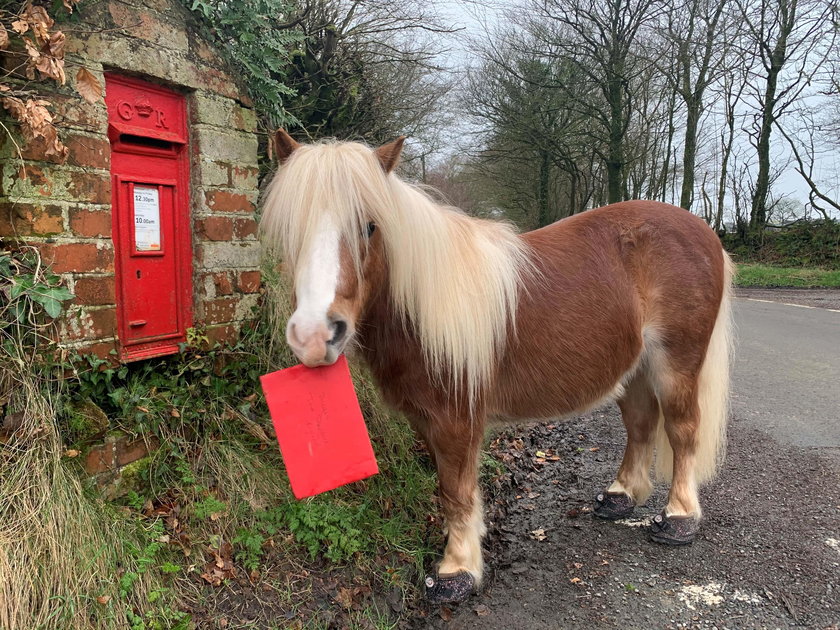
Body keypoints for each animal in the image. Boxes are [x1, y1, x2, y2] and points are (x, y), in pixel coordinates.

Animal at [260, 130, 732, 608]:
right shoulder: (425, 421)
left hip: (676, 364)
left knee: (682, 430)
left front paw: (457, 570)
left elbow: (456, 491)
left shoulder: (456, 421)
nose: (314, 335)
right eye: (291, 229)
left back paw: (679, 519)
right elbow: (448, 489)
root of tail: (705, 233)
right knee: (640, 423)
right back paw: (621, 497)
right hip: (635, 367)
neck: (423, 307)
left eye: (370, 226)